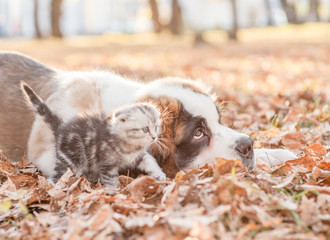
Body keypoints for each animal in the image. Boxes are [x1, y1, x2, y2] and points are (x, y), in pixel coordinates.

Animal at [20, 81, 165, 187]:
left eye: (156, 127)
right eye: (145, 129)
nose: (154, 137)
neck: (130, 144)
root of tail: (61, 128)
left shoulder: (139, 156)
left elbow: (150, 162)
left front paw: (160, 175)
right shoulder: (106, 164)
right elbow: (111, 180)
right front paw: (114, 192)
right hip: (70, 159)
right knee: (57, 175)